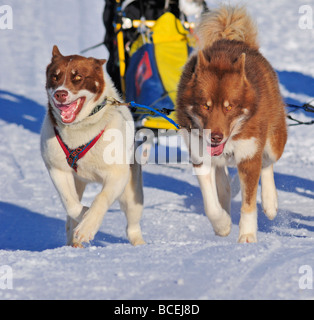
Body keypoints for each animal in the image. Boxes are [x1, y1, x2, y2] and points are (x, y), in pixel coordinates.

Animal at [40, 46, 146, 248]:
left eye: (78, 77)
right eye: (55, 76)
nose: (60, 94)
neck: (80, 130)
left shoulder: (117, 175)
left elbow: (101, 198)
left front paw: (87, 226)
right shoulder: (57, 170)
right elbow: (71, 204)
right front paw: (83, 216)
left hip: (131, 191)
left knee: (132, 224)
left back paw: (139, 243)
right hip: (78, 182)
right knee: (71, 215)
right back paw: (73, 240)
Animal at [177, 5, 288, 242]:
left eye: (229, 107)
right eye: (206, 106)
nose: (216, 136)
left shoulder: (248, 156)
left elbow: (248, 202)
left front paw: (246, 235)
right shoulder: (200, 157)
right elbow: (211, 205)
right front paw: (222, 224)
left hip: (273, 141)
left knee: (267, 163)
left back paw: (270, 202)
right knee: (224, 186)